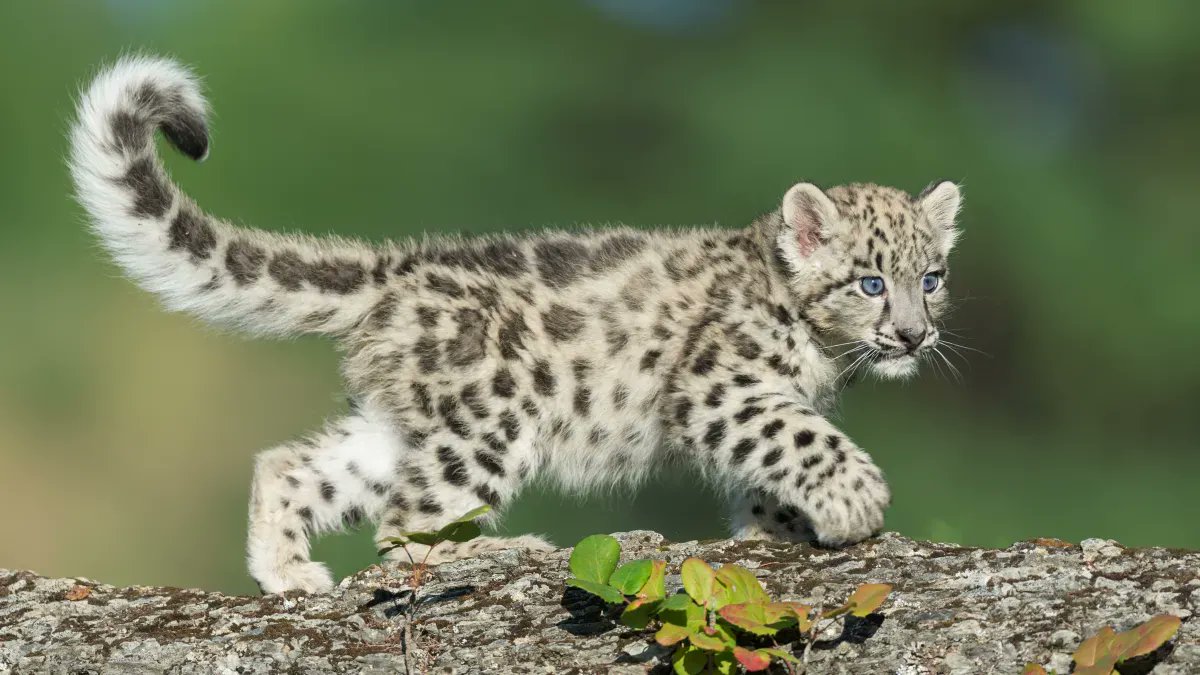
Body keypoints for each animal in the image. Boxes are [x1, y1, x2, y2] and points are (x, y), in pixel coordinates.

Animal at [69, 56, 963, 593]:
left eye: (932, 278)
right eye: (870, 281)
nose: (914, 335)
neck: (821, 352)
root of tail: (396, 268)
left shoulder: (755, 399)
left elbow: (770, 466)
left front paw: (777, 529)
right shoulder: (724, 387)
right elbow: (798, 436)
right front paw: (855, 500)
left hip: (406, 425)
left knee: (294, 465)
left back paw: (288, 573)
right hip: (490, 420)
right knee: (407, 526)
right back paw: (504, 549)